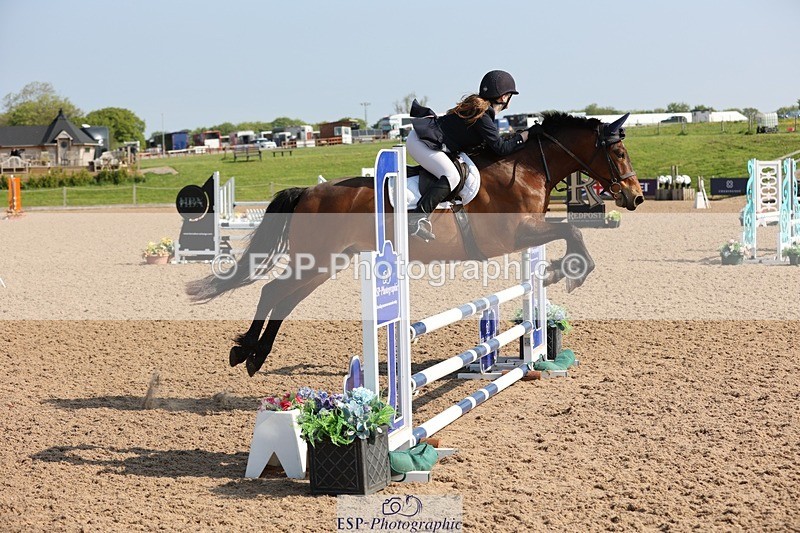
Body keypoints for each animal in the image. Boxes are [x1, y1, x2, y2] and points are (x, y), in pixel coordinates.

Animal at [187, 112, 644, 376]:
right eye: (619, 152)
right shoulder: (515, 234)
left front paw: (553, 274)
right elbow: (572, 232)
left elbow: (569, 233)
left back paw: (253, 355)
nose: (636, 197)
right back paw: (246, 353)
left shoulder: (526, 231)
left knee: (284, 297)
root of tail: (309, 192)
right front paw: (567, 274)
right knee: (272, 291)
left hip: (328, 263)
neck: (524, 167)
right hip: (315, 260)